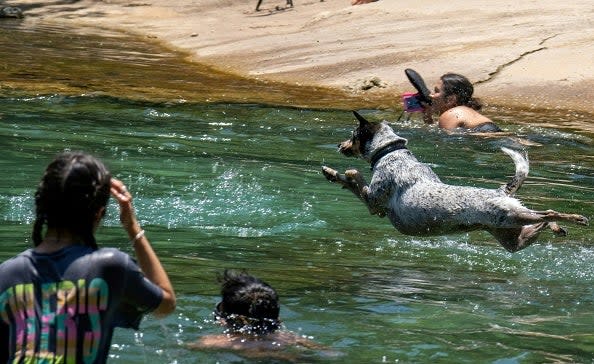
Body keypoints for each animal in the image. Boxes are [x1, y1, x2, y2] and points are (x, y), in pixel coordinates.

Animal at [322, 111, 584, 253]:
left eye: (353, 136)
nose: (339, 145)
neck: (391, 152)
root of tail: (501, 192)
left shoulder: (373, 204)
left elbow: (354, 177)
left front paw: (344, 172)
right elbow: (346, 179)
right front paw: (330, 172)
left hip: (511, 215)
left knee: (547, 213)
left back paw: (574, 218)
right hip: (512, 237)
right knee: (540, 221)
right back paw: (558, 228)